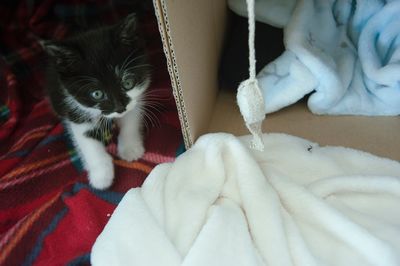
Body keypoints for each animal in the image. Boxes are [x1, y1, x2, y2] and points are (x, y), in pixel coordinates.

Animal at [43, 14, 151, 189]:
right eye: (97, 94)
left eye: (128, 83)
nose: (120, 108)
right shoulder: (74, 110)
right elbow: (87, 141)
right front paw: (101, 176)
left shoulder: (137, 96)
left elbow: (132, 118)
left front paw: (130, 148)